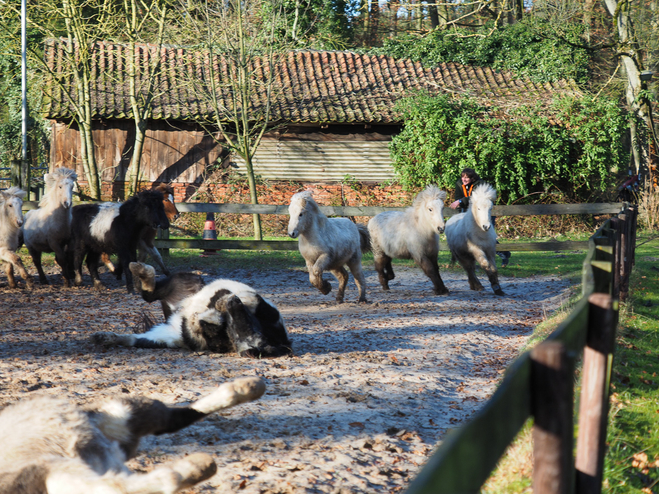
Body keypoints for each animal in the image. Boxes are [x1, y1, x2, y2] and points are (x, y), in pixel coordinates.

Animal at [91, 264, 292, 356]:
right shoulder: (268, 312)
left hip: (164, 334)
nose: (231, 302)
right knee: (150, 292)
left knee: (136, 334)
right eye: (248, 322)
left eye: (244, 327)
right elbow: (252, 299)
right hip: (185, 281)